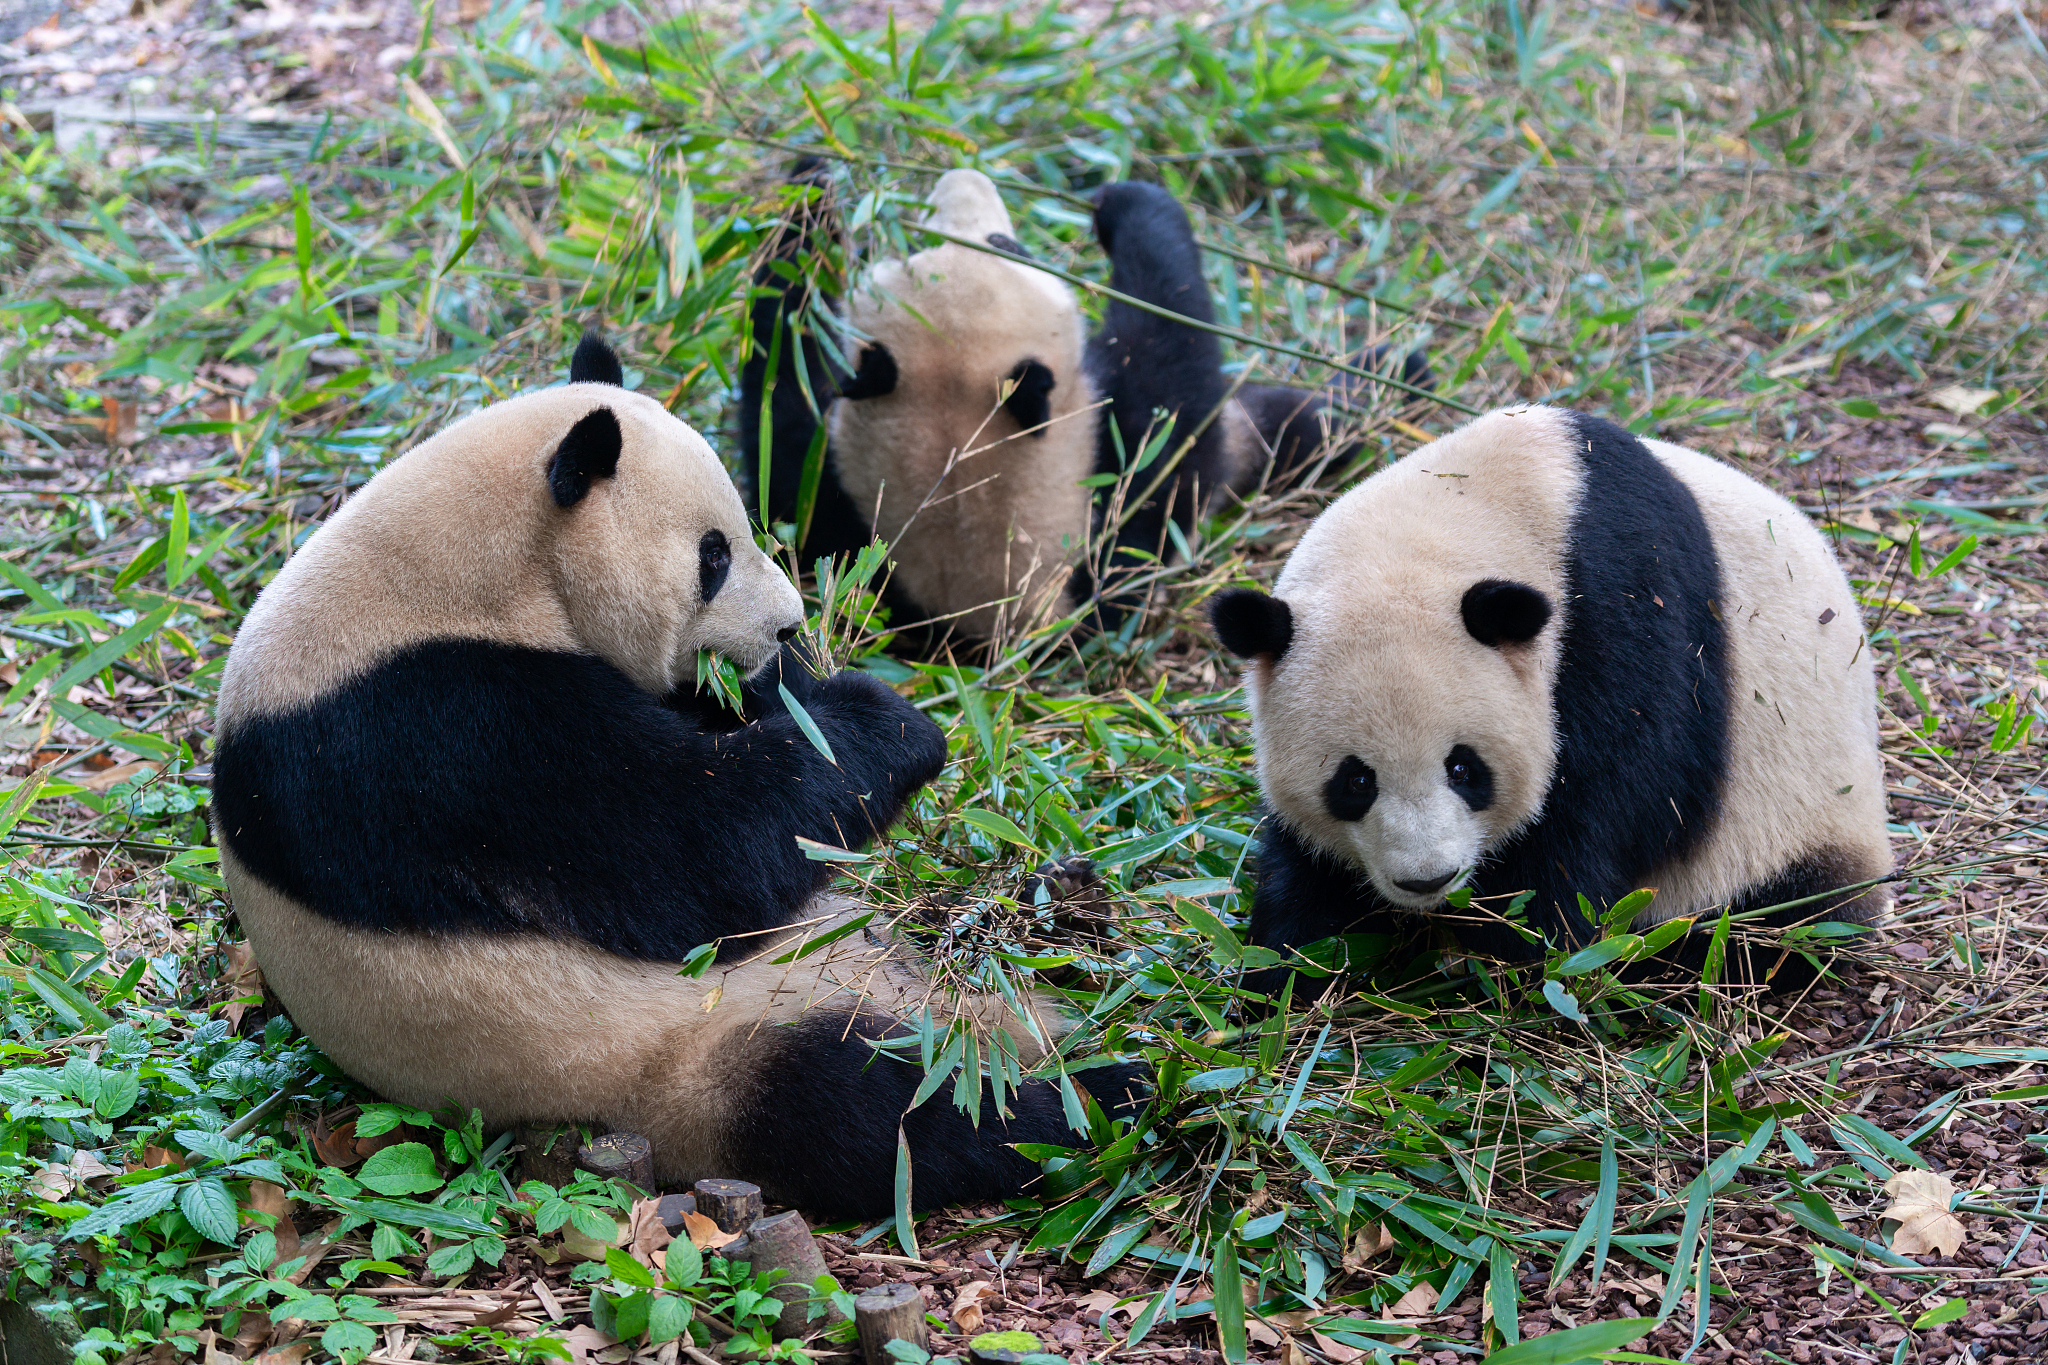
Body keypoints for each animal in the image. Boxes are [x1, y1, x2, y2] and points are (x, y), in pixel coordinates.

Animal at [216, 333, 1146, 1219]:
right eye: (713, 555)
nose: (789, 623)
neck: (453, 570)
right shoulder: (433, 733)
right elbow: (691, 851)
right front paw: (884, 716)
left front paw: (785, 686)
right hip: (683, 1060)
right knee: (876, 1107)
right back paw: (1093, 1095)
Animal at [1204, 405, 1892, 994]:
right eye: (1354, 781)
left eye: (1464, 768)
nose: (1427, 879)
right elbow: (1305, 866)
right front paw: (1291, 961)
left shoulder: (1628, 614)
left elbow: (1620, 795)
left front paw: (1519, 947)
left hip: (1793, 817)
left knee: (1785, 918)